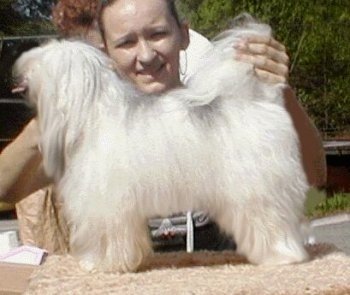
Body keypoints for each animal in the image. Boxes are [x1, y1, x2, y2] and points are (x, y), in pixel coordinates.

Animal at [13, 15, 308, 272]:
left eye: (41, 60)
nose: (19, 71)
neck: (94, 112)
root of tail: (260, 98)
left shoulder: (107, 205)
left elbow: (108, 237)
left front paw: (101, 264)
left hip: (259, 191)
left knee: (273, 224)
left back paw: (282, 256)